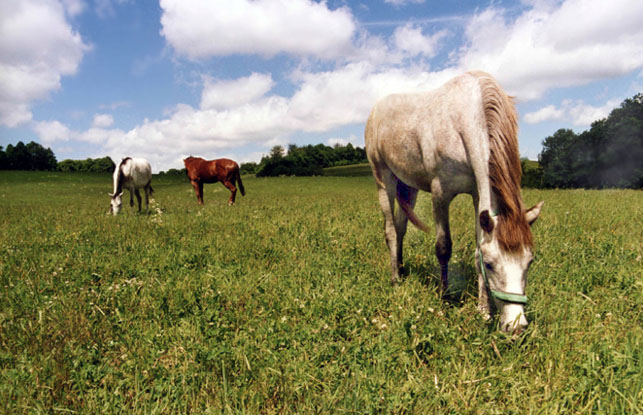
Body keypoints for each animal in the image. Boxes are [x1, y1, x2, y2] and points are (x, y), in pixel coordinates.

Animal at [368, 70, 544, 334]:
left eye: (529, 262)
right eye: (491, 264)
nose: (515, 327)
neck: (464, 122)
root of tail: (376, 109)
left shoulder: (478, 195)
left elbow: (477, 245)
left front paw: (483, 311)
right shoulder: (440, 192)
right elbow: (443, 247)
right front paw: (445, 297)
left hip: (407, 185)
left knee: (400, 228)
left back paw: (400, 267)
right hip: (384, 179)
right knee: (390, 230)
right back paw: (395, 279)